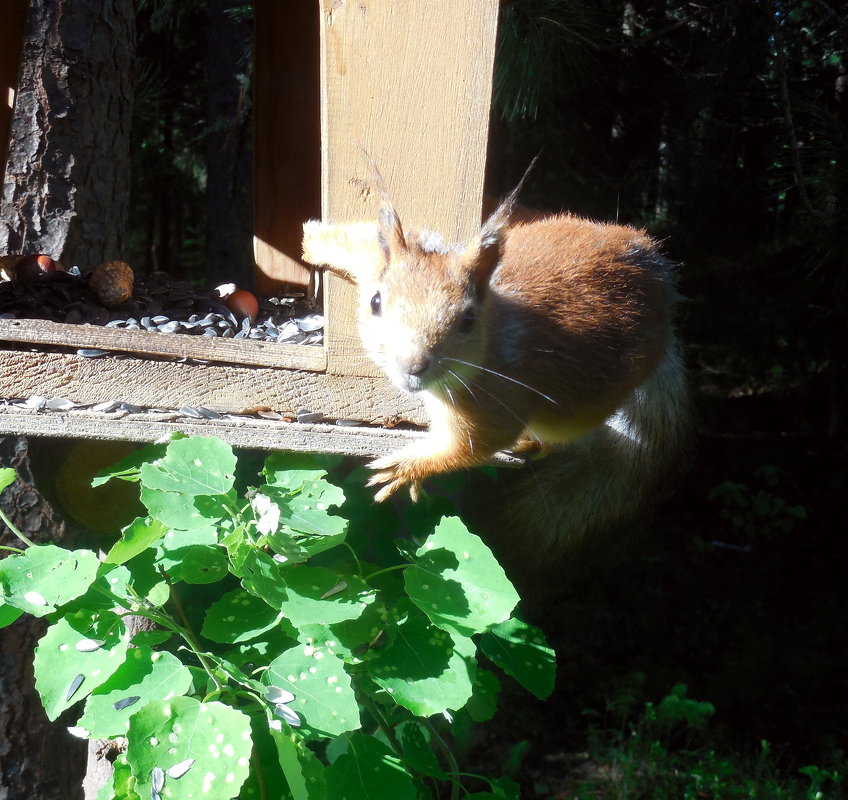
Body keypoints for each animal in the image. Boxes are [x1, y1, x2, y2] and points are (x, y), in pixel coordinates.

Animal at [302, 162, 684, 552]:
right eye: (376, 302)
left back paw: (532, 442)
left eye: (468, 320)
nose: (412, 367)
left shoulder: (494, 404)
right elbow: (365, 244)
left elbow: (471, 447)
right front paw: (315, 240)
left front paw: (409, 466)